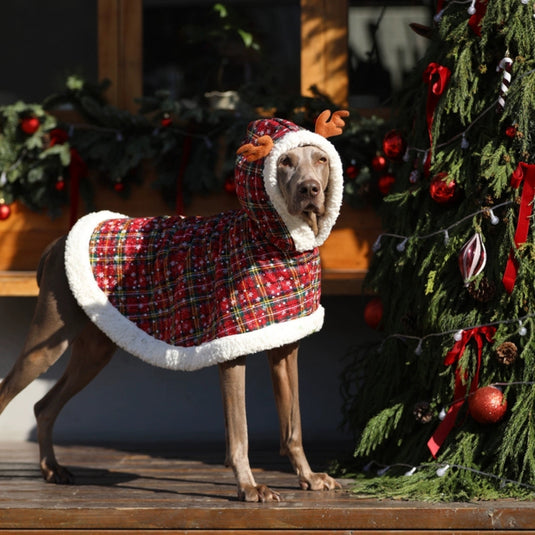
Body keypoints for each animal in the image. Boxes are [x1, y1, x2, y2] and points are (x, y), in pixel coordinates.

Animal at [0, 112, 348, 502]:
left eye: (321, 159)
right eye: (285, 161)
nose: (310, 190)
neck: (279, 244)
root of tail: (57, 242)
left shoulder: (286, 347)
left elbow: (294, 426)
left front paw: (310, 477)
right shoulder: (231, 347)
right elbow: (239, 432)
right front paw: (248, 486)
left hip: (94, 349)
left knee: (44, 406)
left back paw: (52, 469)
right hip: (46, 340)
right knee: (7, 393)